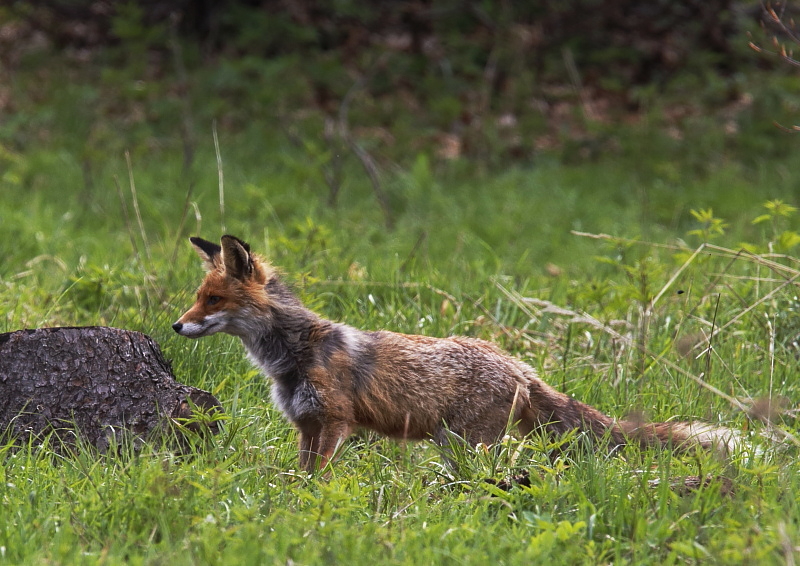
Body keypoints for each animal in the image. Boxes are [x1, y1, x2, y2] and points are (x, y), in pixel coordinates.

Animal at [173, 236, 736, 474]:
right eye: (198, 296)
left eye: (213, 299)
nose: (177, 325)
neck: (295, 355)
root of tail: (519, 364)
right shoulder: (306, 425)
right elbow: (300, 476)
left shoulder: (333, 423)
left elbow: (319, 479)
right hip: (455, 443)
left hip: (467, 443)